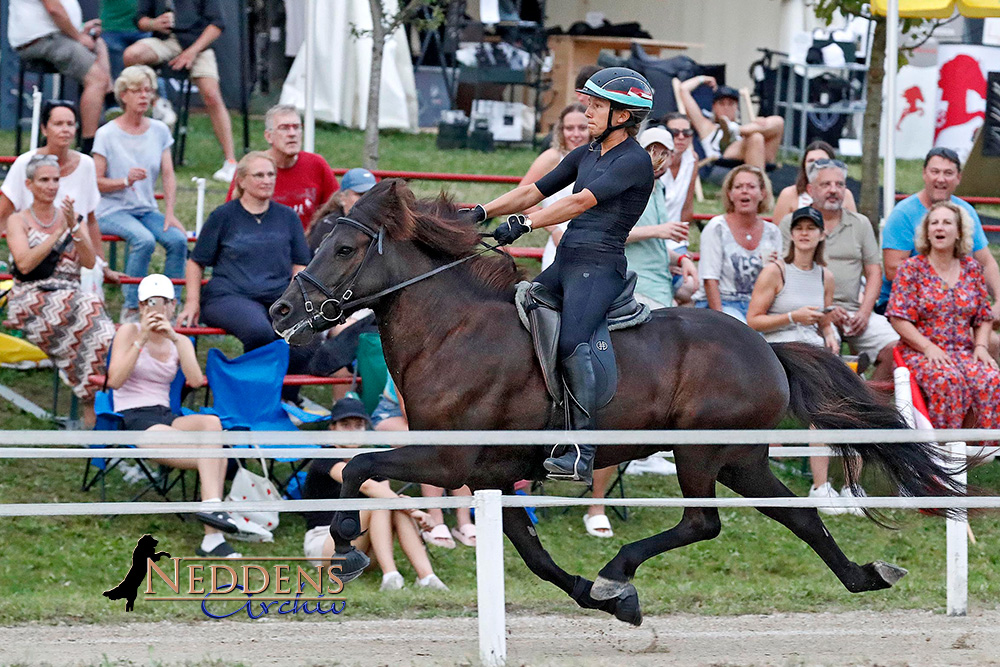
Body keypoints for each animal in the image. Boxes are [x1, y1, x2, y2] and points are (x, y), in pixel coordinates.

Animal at [270, 179, 964, 628]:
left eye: (344, 249)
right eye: (320, 239)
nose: (280, 311)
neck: (453, 329)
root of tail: (767, 347)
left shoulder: (448, 461)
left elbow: (359, 466)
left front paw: (347, 547)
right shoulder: (491, 473)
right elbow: (536, 556)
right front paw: (602, 600)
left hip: (701, 454)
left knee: (703, 523)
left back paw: (619, 567)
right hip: (742, 459)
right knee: (797, 515)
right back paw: (865, 576)